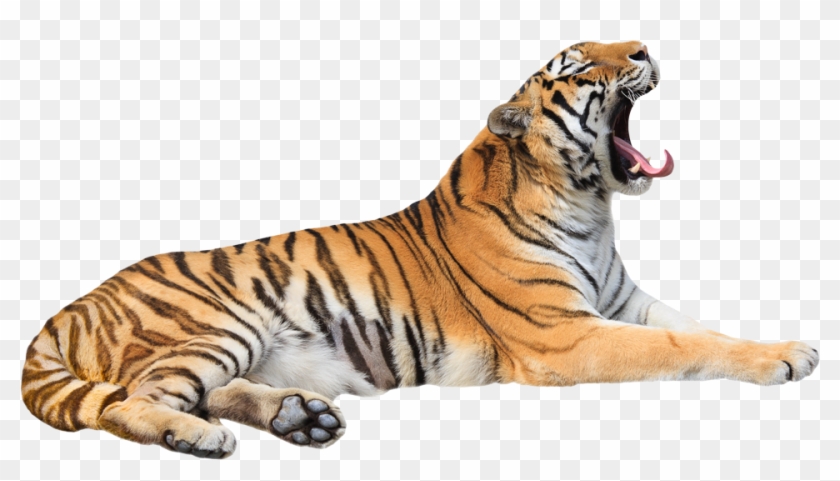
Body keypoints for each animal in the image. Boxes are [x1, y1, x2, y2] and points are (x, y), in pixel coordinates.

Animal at [21, 41, 819, 459]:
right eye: (577, 67)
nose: (645, 47)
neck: (592, 205)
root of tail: (74, 304)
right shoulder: (565, 335)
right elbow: (681, 345)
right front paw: (787, 358)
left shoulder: (623, 302)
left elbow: (701, 328)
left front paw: (778, 345)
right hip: (218, 322)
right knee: (131, 402)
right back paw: (198, 437)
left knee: (195, 389)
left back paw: (298, 418)